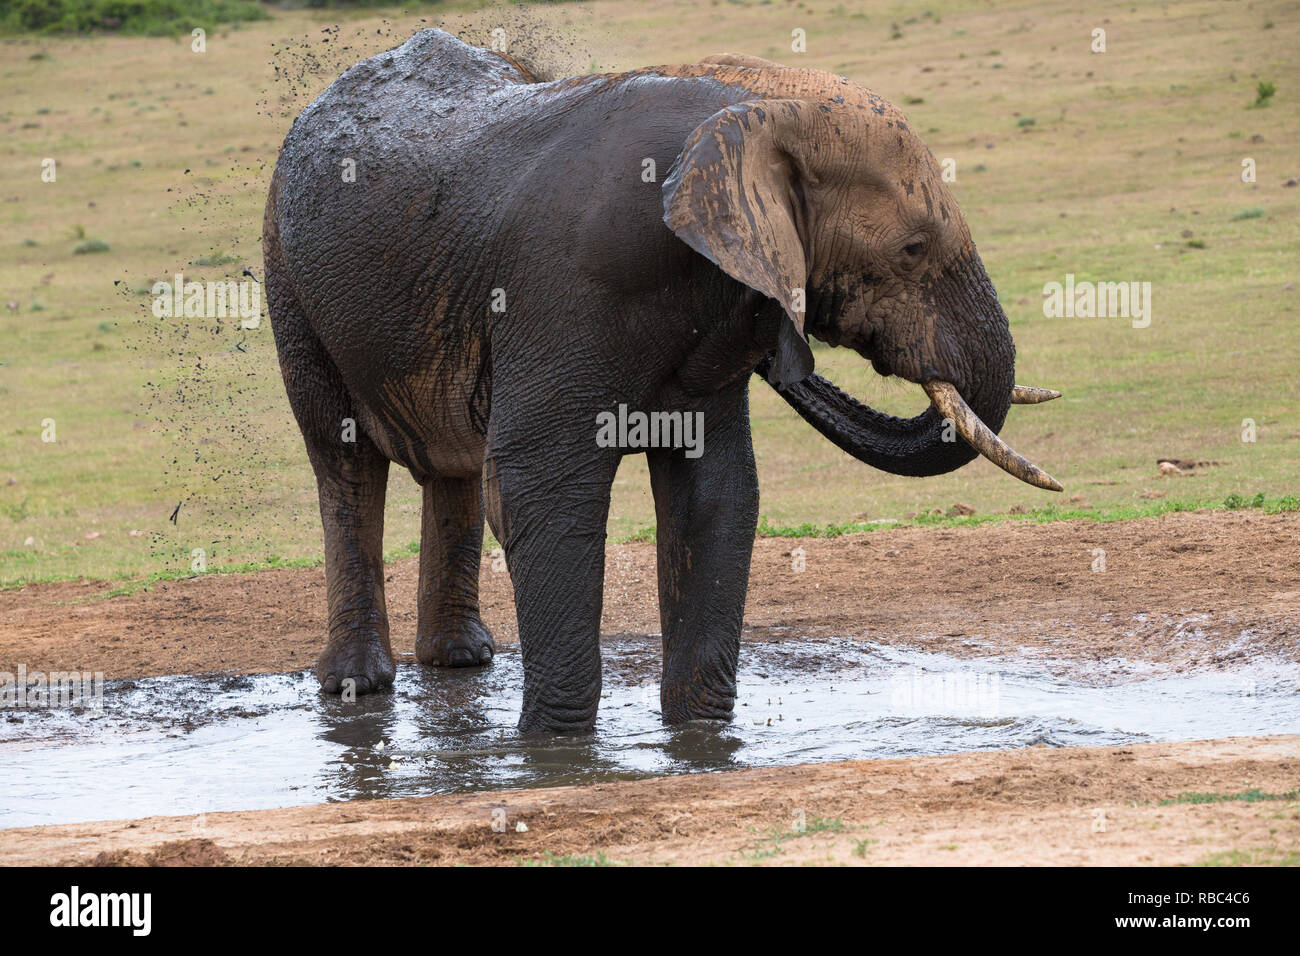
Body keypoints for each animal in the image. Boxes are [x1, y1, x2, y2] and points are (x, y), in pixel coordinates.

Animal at [263, 29, 1061, 734]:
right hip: (289, 281)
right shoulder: (564, 290)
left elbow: (717, 492)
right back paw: (357, 683)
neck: (751, 113)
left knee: (452, 463)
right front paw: (556, 748)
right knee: (344, 460)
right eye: (913, 249)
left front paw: (701, 734)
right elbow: (537, 487)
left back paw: (461, 661)